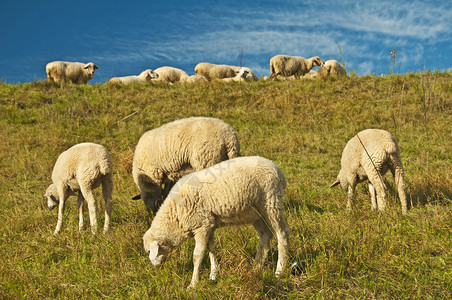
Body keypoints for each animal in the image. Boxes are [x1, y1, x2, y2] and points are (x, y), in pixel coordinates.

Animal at [142, 156, 290, 290]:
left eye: (149, 251)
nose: (155, 267)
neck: (175, 216)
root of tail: (277, 169)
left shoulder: (201, 226)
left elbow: (197, 256)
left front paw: (193, 284)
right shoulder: (208, 224)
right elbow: (211, 249)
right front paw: (213, 275)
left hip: (271, 202)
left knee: (282, 233)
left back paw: (279, 270)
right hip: (256, 213)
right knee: (265, 235)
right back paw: (257, 267)